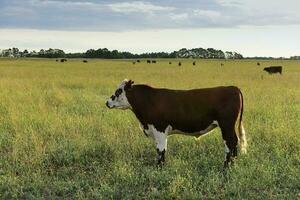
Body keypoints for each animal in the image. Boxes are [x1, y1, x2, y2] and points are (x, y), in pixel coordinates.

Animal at [106, 79, 247, 167]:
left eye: (118, 91)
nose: (107, 102)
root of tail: (232, 87)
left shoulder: (159, 129)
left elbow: (161, 150)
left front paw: (159, 168)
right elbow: (159, 150)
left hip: (226, 125)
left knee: (229, 143)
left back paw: (226, 166)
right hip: (230, 126)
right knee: (235, 142)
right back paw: (233, 163)